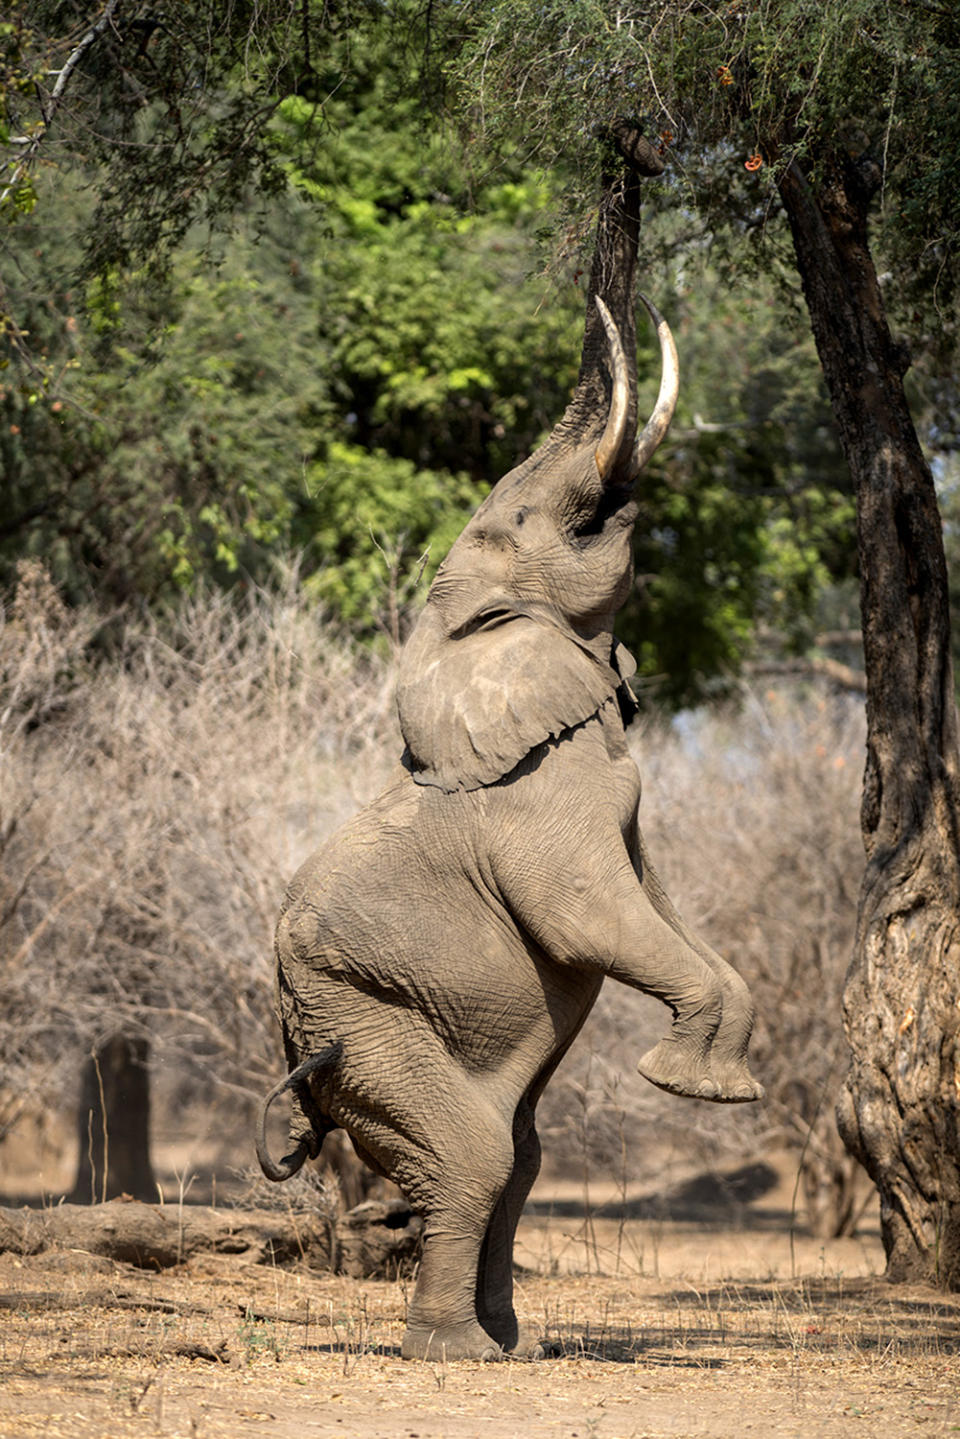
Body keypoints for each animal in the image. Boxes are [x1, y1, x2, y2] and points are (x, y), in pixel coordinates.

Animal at [257, 143, 765, 1358]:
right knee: (478, 1154)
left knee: (519, 1157)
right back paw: (451, 1353)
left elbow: (657, 903)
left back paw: (506, 1343)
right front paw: (694, 1086)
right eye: (530, 523)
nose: (627, 156)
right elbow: (594, 915)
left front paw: (715, 1078)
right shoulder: (539, 804)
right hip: (358, 1012)